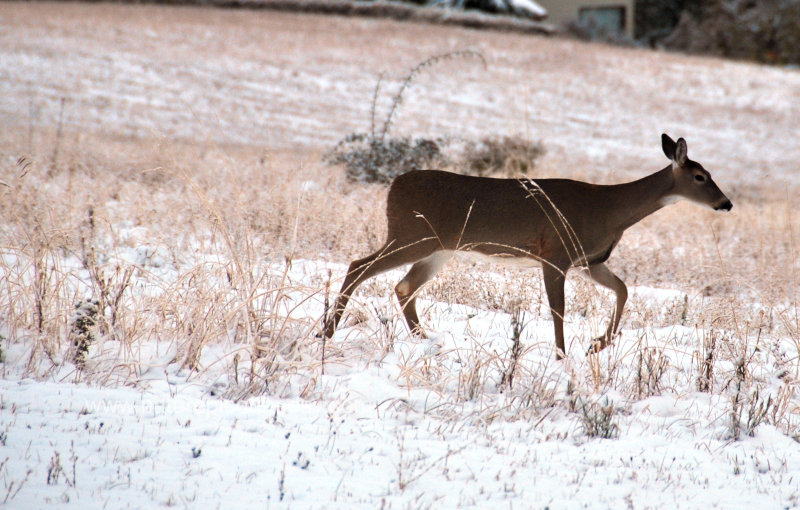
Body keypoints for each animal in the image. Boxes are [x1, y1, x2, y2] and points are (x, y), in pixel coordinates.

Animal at [324, 134, 732, 358]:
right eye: (701, 176)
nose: (726, 203)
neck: (610, 211)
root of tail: (393, 185)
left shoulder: (590, 260)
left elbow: (623, 290)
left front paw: (597, 344)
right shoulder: (556, 254)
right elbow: (558, 310)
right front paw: (562, 355)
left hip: (438, 248)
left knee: (403, 285)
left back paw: (427, 340)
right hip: (410, 234)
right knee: (359, 266)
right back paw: (326, 331)